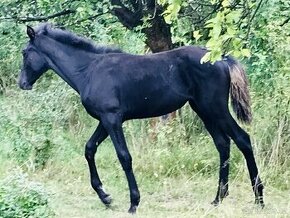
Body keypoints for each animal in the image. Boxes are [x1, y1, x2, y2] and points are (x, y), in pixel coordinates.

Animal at [17, 23, 262, 213]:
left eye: (25, 52)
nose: (22, 83)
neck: (88, 70)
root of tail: (222, 59)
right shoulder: (104, 120)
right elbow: (89, 149)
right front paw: (105, 196)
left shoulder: (112, 118)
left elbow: (124, 157)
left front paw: (133, 202)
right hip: (203, 110)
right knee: (223, 144)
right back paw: (218, 198)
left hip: (215, 108)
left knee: (243, 139)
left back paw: (259, 198)